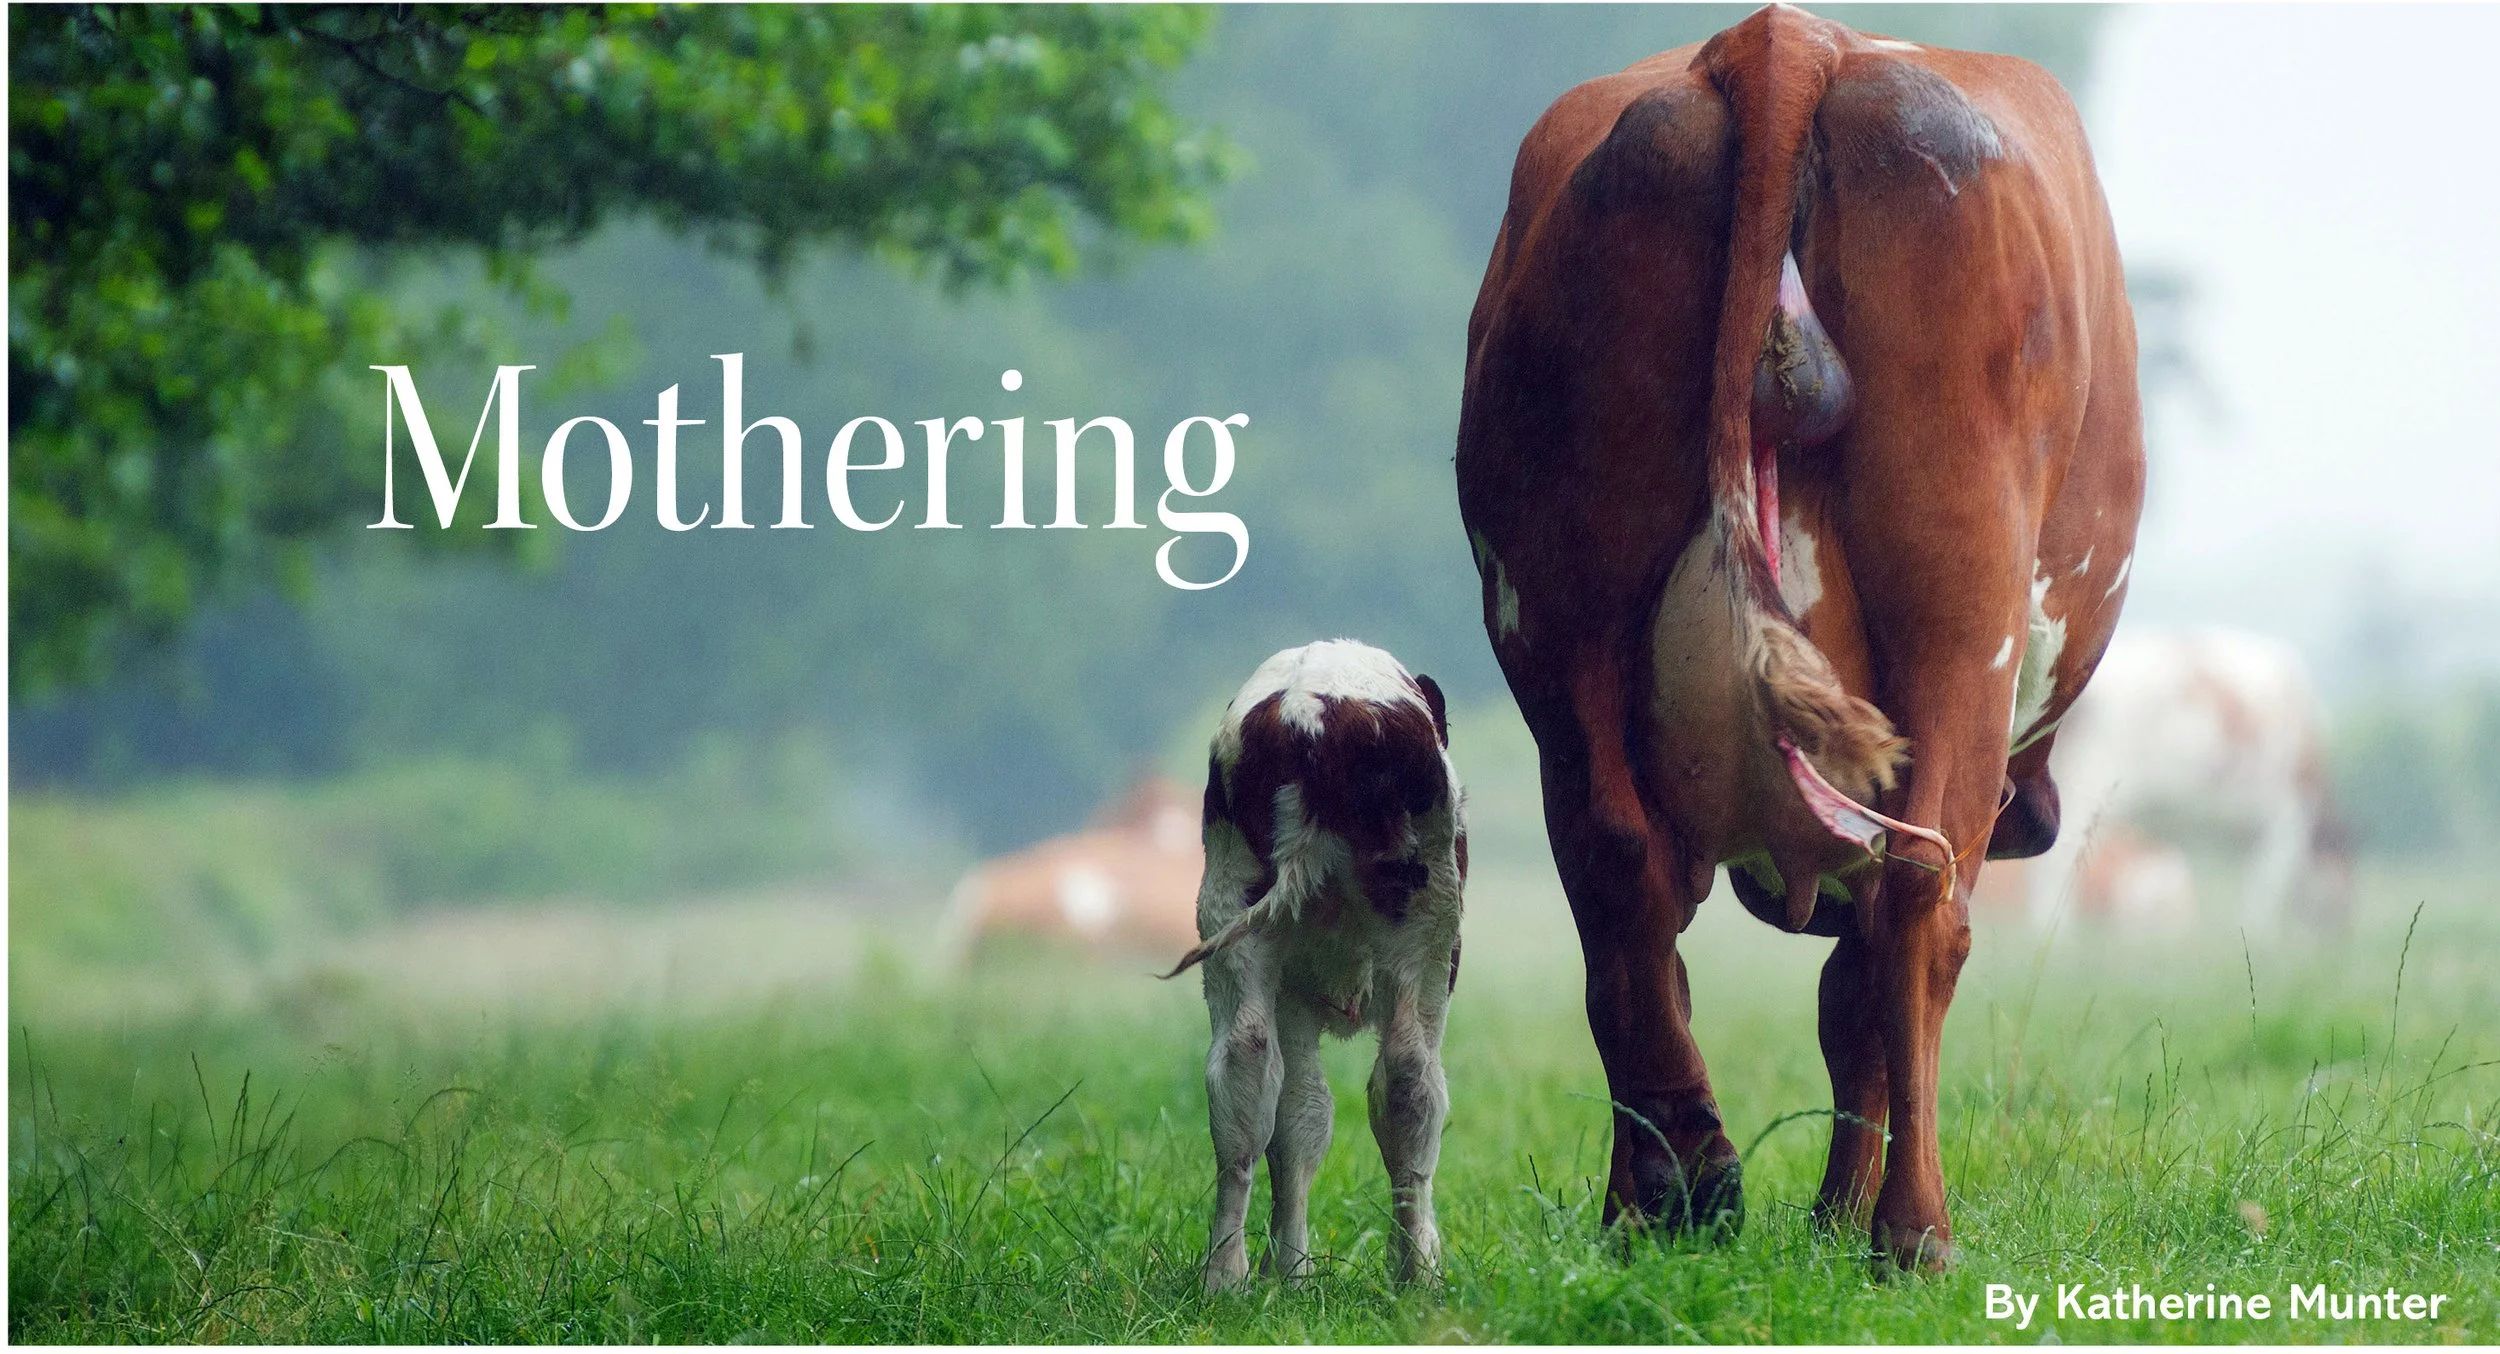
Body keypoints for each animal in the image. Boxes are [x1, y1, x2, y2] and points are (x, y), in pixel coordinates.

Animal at [1165, 640, 1468, 1289]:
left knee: (1245, 1070)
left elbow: (1299, 1118)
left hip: (1231, 913)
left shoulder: (1294, 992)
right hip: (1429, 928)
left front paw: (1291, 1272)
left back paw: (1226, 1275)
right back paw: (1416, 1273)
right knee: (1410, 1078)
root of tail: (1310, 715)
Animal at [1454, 4, 2144, 1269]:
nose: (2040, 814)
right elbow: (1859, 989)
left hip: (1554, 608)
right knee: (1920, 896)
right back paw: (1912, 1231)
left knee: (1618, 876)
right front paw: (1839, 1215)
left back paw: (1668, 1194)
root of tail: (1785, 39)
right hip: (1961, 610)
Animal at [2021, 628, 2354, 936]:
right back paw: (2054, 934)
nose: (2342, 933)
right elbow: (2268, 878)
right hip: (2091, 777)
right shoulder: (2289, 815)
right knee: (2060, 859)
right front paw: (2261, 934)